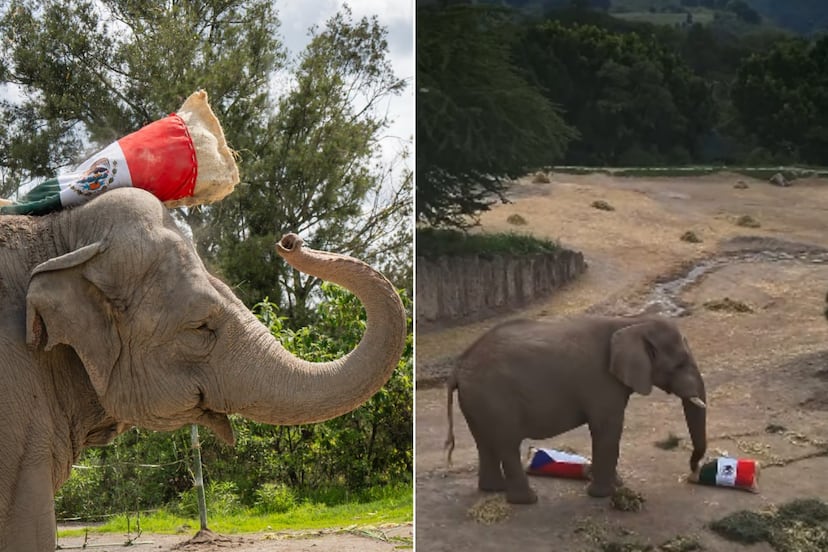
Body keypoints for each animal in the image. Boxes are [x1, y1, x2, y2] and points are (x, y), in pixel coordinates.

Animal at [444, 315, 707, 503]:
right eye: (679, 364)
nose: (693, 474)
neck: (632, 322)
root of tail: (458, 366)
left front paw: (616, 484)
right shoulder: (601, 383)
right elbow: (607, 429)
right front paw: (604, 494)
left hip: (477, 399)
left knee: (484, 442)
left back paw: (493, 490)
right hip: (494, 398)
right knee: (506, 443)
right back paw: (527, 500)